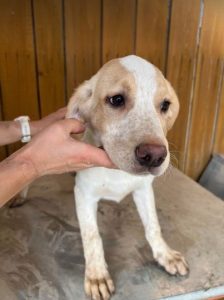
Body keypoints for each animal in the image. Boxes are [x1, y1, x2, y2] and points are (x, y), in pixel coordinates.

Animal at [66, 54, 189, 300]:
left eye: (165, 105)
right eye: (116, 100)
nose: (154, 156)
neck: (117, 173)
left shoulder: (144, 190)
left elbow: (153, 226)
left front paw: (165, 254)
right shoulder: (83, 195)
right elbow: (92, 236)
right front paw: (96, 276)